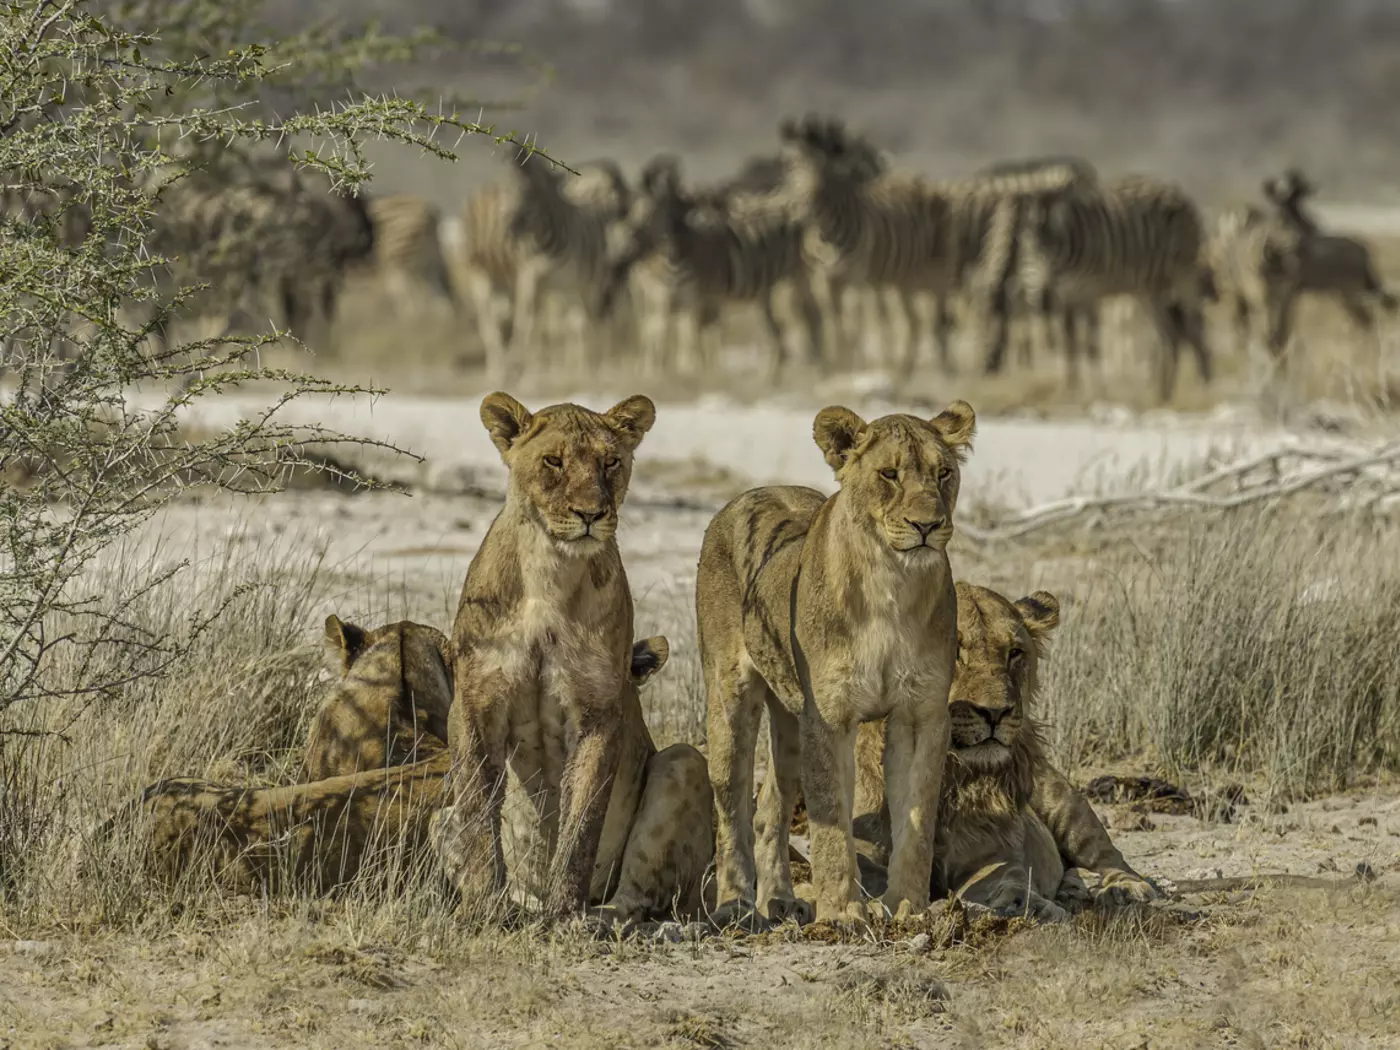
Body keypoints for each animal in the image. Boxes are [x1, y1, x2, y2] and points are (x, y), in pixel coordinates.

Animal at [438, 391, 713, 921]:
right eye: (553, 461)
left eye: (611, 463)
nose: (591, 513)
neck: (551, 572)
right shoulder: (475, 704)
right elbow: (478, 810)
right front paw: (483, 907)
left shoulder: (598, 712)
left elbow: (582, 820)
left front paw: (564, 914)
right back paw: (518, 903)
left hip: (684, 761)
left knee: (638, 897)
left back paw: (603, 918)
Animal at [698, 401, 976, 927]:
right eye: (889, 474)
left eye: (943, 473)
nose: (928, 526)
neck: (892, 584)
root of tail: (749, 493)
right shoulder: (829, 715)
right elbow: (831, 819)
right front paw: (842, 910)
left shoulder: (921, 713)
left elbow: (917, 817)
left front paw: (908, 905)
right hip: (731, 698)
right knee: (730, 806)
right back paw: (737, 903)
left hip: (790, 720)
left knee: (769, 809)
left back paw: (779, 899)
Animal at [850, 583, 1158, 919]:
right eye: (953, 651)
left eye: (1015, 653)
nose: (996, 713)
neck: (948, 777)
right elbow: (871, 871)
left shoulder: (994, 851)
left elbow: (1002, 876)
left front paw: (1025, 902)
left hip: (1066, 805)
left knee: (1110, 858)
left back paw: (1124, 889)